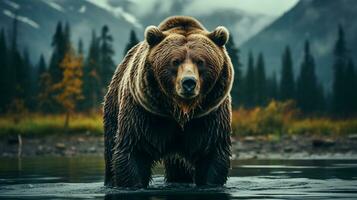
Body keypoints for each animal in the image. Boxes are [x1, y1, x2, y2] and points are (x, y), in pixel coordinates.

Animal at [103, 15, 234, 188]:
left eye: (201, 61)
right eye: (175, 61)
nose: (188, 82)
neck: (179, 111)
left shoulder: (209, 117)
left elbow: (212, 155)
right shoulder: (143, 115)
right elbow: (133, 152)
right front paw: (132, 183)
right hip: (113, 109)